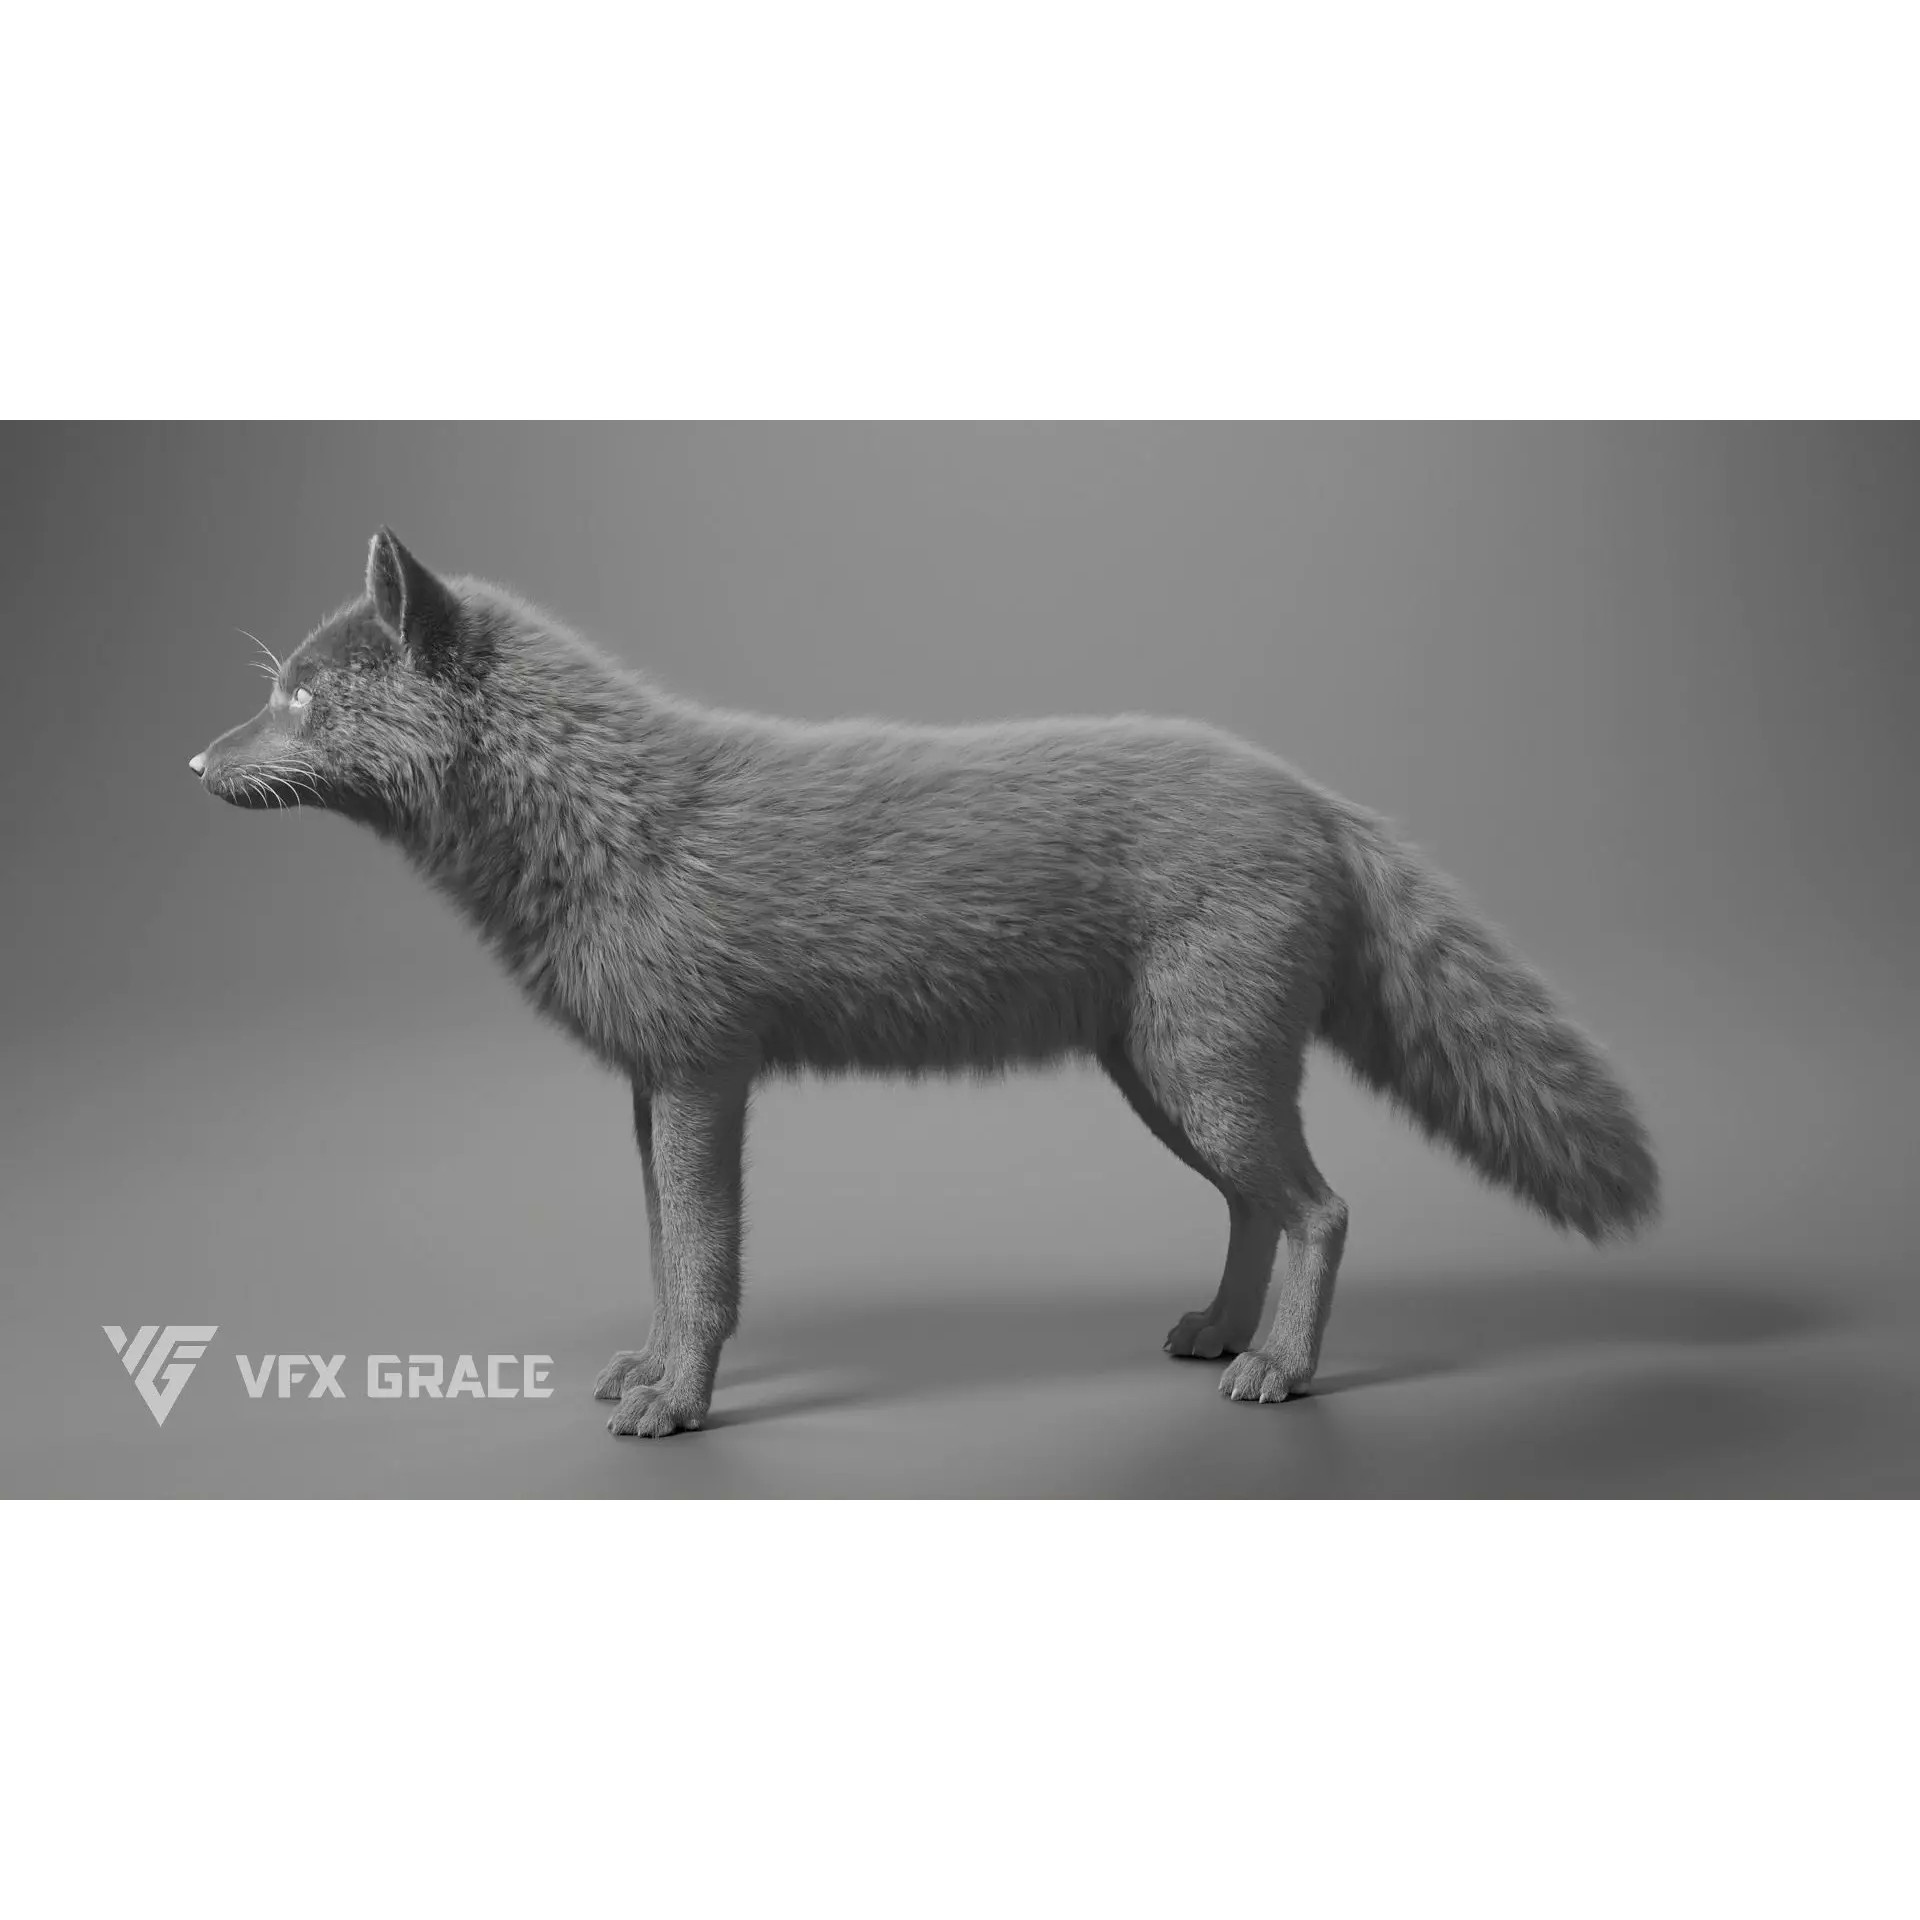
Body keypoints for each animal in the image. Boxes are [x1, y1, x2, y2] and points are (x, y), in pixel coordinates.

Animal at [190, 529, 1659, 1438]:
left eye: (302, 699)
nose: (193, 766)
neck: (606, 819)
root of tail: (1317, 795)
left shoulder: (706, 1080)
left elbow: (707, 1271)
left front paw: (681, 1406)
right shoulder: (653, 1088)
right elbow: (666, 1263)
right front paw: (652, 1371)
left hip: (1202, 1081)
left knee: (1325, 1210)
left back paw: (1282, 1372)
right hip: (1169, 1088)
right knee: (1264, 1210)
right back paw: (1220, 1334)